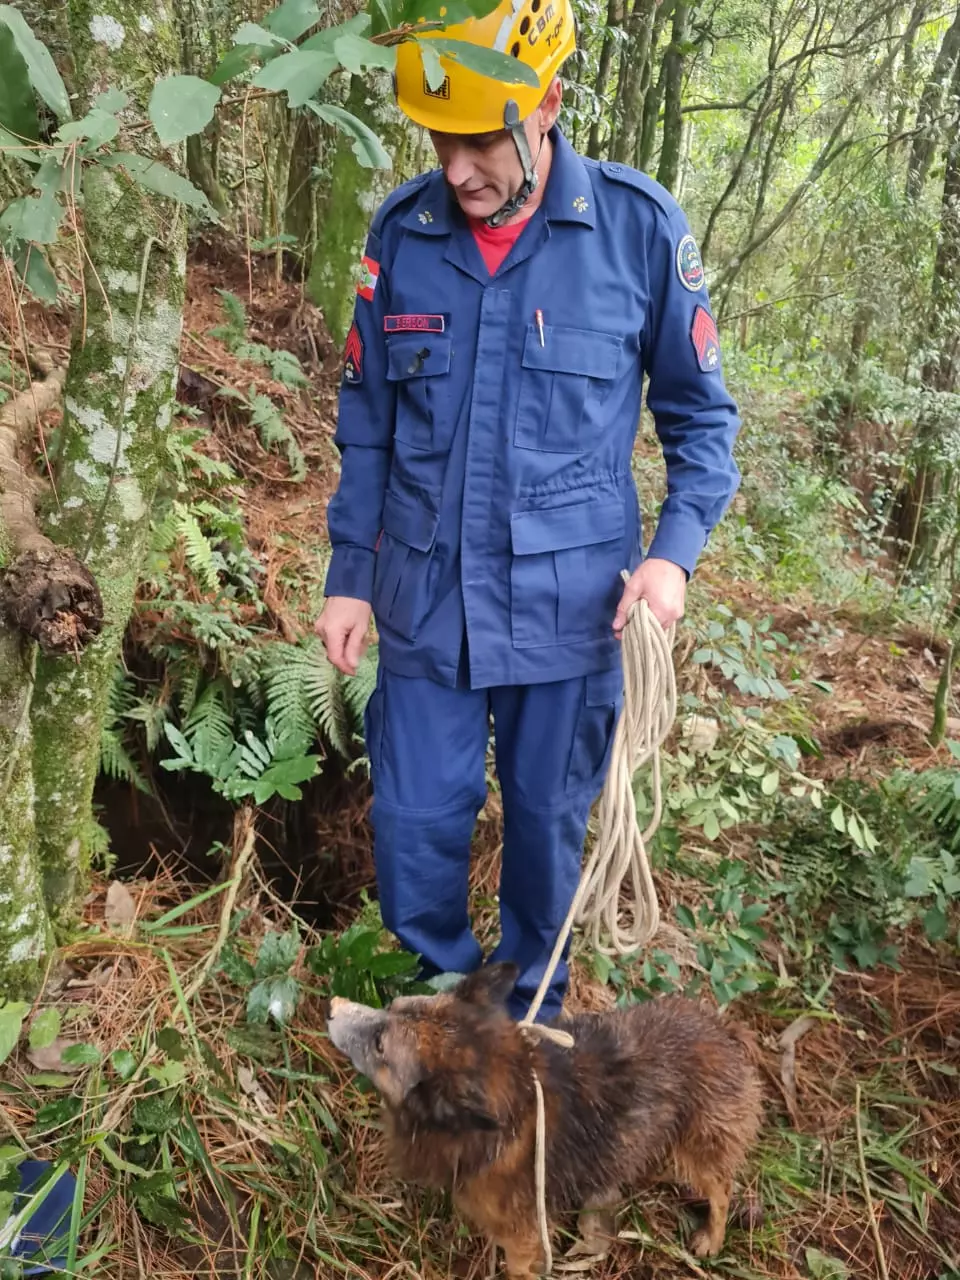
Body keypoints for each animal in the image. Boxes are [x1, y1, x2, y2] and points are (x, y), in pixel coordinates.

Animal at [330, 962, 768, 1274]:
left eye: (380, 1045)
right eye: (393, 1006)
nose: (332, 1006)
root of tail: (722, 1029)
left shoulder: (523, 1237)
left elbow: (518, 1267)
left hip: (703, 1146)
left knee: (721, 1189)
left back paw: (711, 1238)